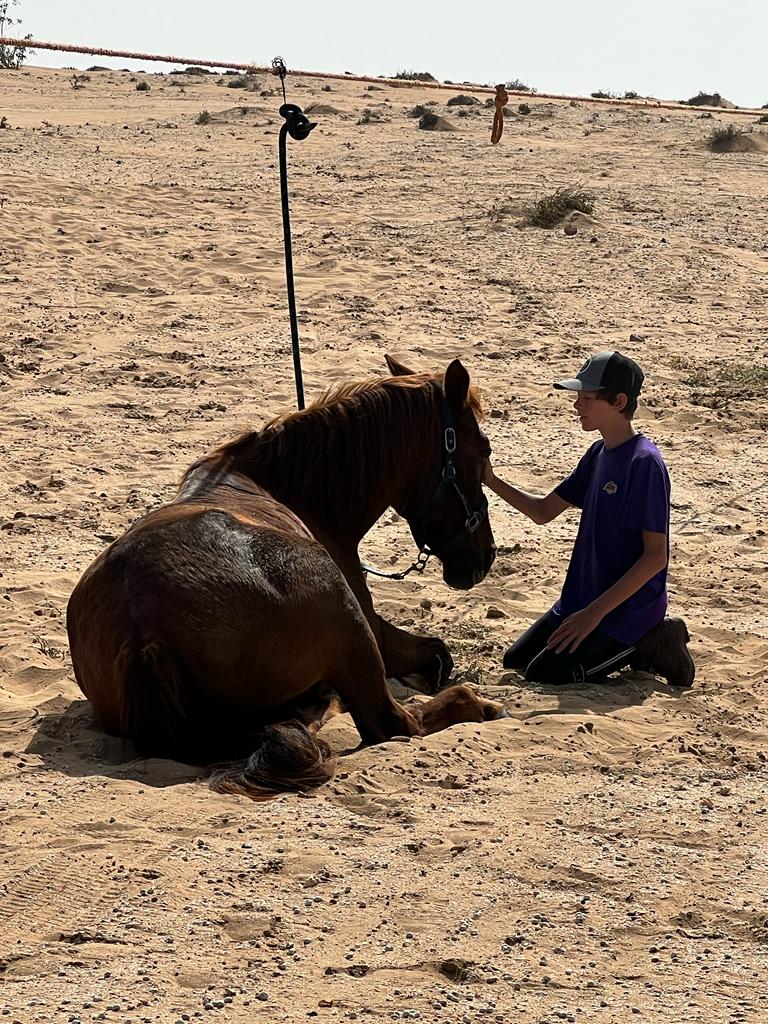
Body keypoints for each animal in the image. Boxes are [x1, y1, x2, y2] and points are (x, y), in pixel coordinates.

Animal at [66, 355, 503, 797]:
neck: (297, 492)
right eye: (483, 450)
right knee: (392, 721)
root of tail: (145, 634)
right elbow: (438, 653)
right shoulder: (377, 634)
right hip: (347, 618)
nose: (485, 556)